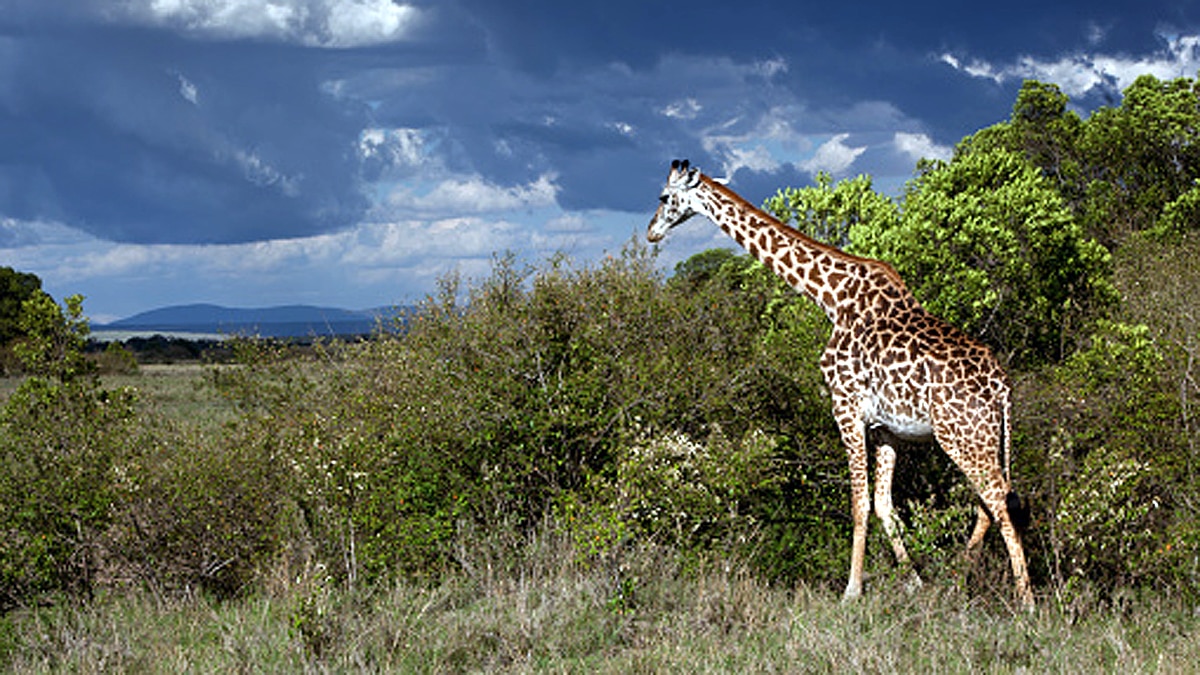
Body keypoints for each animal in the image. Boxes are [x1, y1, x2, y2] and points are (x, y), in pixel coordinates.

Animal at [647, 159, 1034, 610]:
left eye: (663, 197)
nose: (652, 231)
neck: (830, 298)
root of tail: (1003, 386)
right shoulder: (887, 428)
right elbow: (884, 505)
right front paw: (914, 582)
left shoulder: (845, 406)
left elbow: (859, 503)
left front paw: (851, 591)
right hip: (985, 436)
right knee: (989, 503)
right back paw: (954, 584)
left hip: (963, 436)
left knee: (998, 500)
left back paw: (1026, 601)